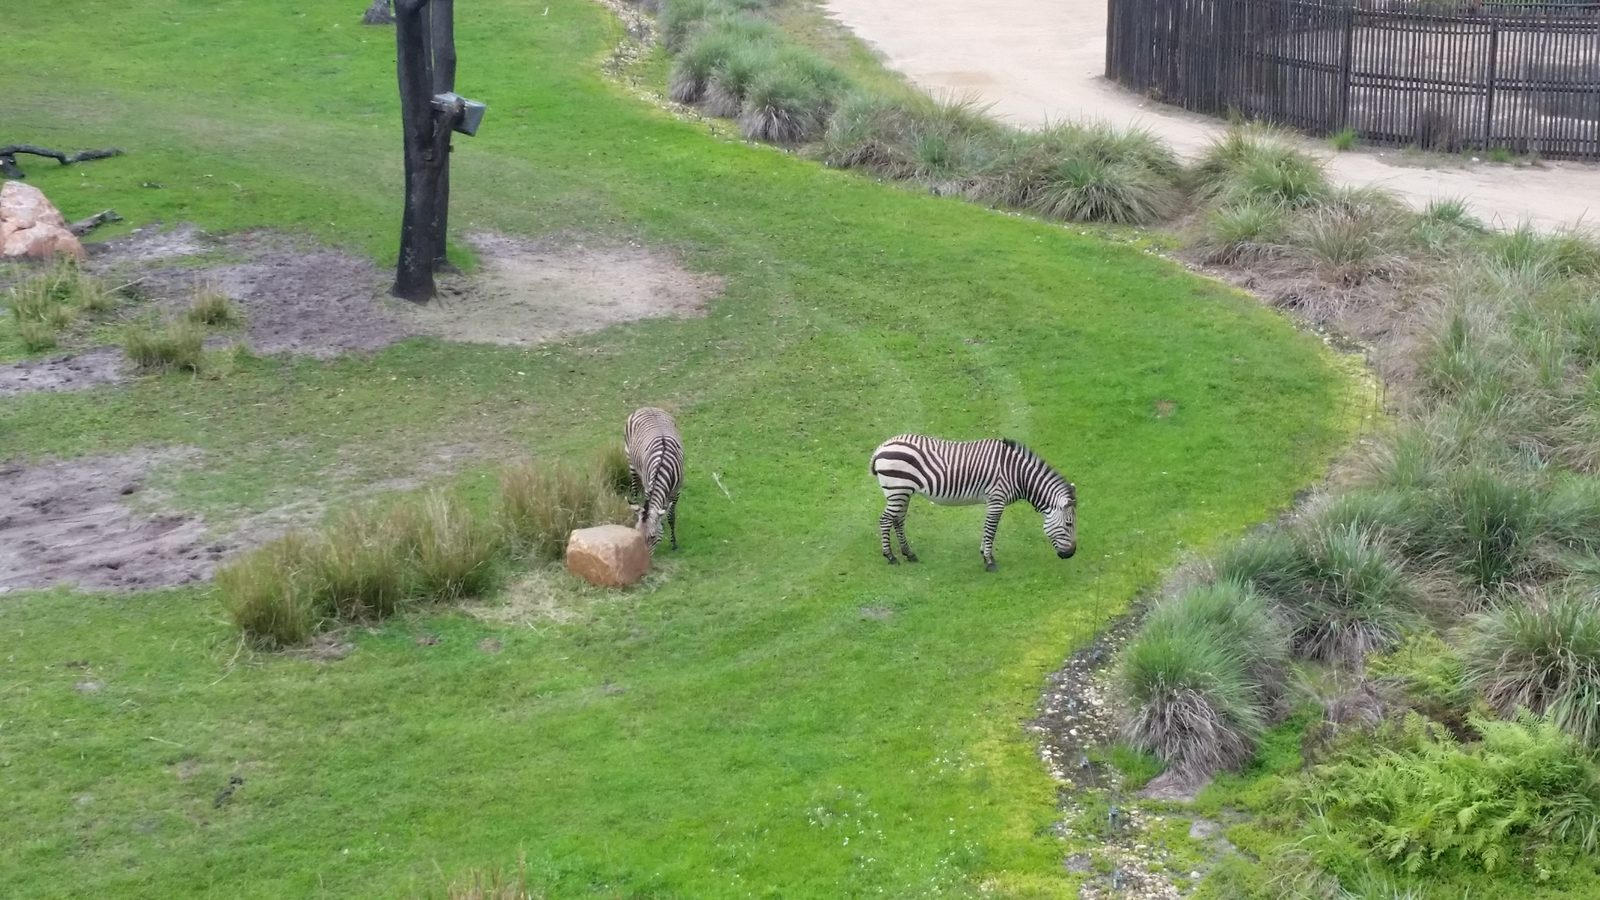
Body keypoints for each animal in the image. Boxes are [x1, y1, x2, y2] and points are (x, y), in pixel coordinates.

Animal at [624, 407, 683, 551]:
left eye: (652, 537)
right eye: (637, 534)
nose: (641, 555)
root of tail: (647, 407)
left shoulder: (676, 491)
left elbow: (671, 516)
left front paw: (674, 543)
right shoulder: (648, 487)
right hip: (631, 463)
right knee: (635, 489)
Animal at [870, 434, 1077, 571]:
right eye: (1069, 524)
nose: (1071, 554)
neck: (1018, 474)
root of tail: (881, 447)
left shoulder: (992, 501)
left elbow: (987, 529)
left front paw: (984, 553)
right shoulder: (997, 499)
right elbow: (991, 529)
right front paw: (990, 561)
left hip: (903, 492)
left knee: (897, 520)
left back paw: (909, 553)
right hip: (898, 491)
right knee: (885, 520)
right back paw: (890, 556)